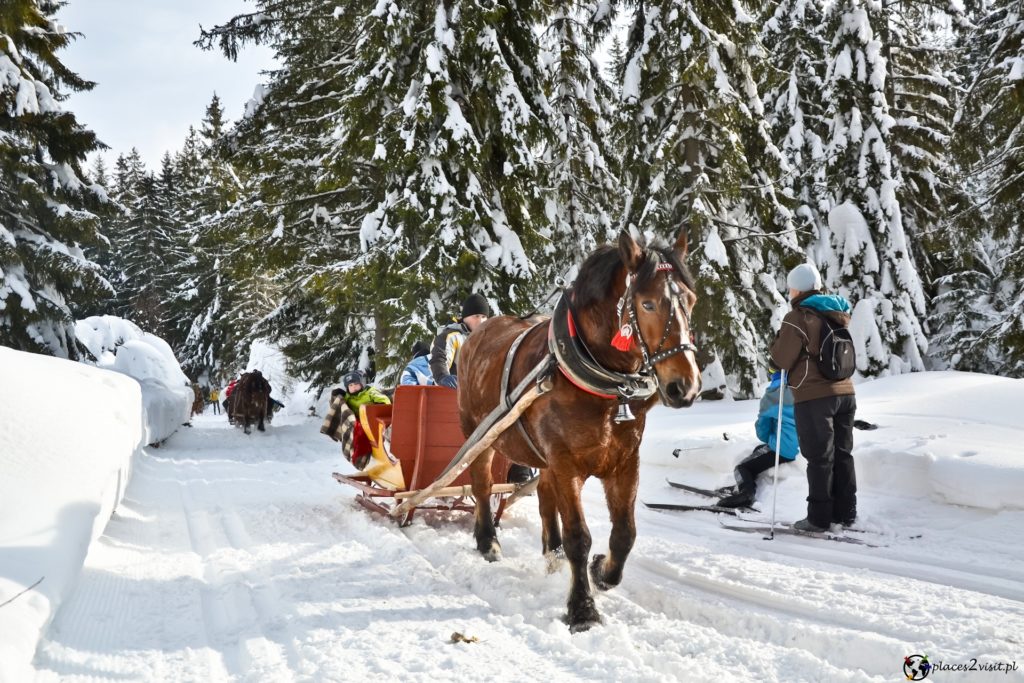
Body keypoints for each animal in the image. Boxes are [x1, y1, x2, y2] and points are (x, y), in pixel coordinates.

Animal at [460, 228, 700, 630]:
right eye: (648, 304)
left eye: (692, 300)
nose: (687, 386)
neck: (604, 388)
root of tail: (478, 334)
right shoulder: (565, 463)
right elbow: (579, 537)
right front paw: (582, 609)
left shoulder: (624, 462)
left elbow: (625, 534)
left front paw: (602, 572)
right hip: (479, 434)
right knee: (481, 486)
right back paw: (488, 541)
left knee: (544, 498)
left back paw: (551, 553)